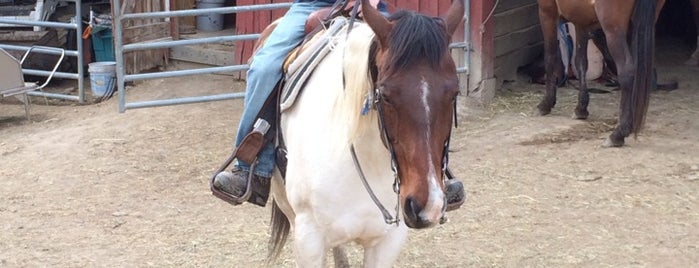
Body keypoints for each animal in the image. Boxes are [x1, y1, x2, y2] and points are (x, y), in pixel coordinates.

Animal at [536, 0, 668, 147]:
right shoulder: (581, 21)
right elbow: (581, 63)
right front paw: (581, 109)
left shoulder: (547, 12)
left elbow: (550, 58)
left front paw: (546, 104)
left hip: (614, 31)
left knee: (627, 73)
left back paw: (618, 134)